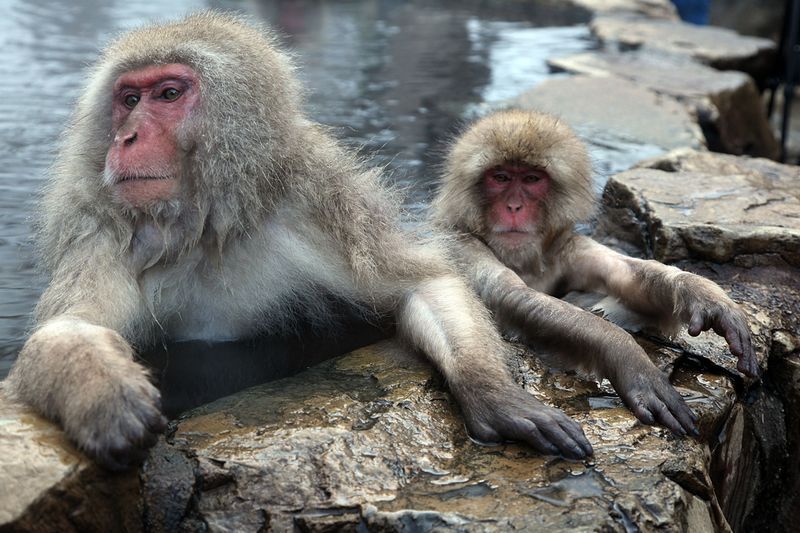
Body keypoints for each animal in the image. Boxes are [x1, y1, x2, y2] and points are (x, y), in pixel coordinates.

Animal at [432, 109, 756, 436]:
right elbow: (510, 294)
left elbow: (625, 273)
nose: (513, 206)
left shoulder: (569, 248)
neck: (524, 260)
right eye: (500, 178)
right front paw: (627, 357)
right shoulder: (460, 244)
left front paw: (704, 295)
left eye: (532, 179)